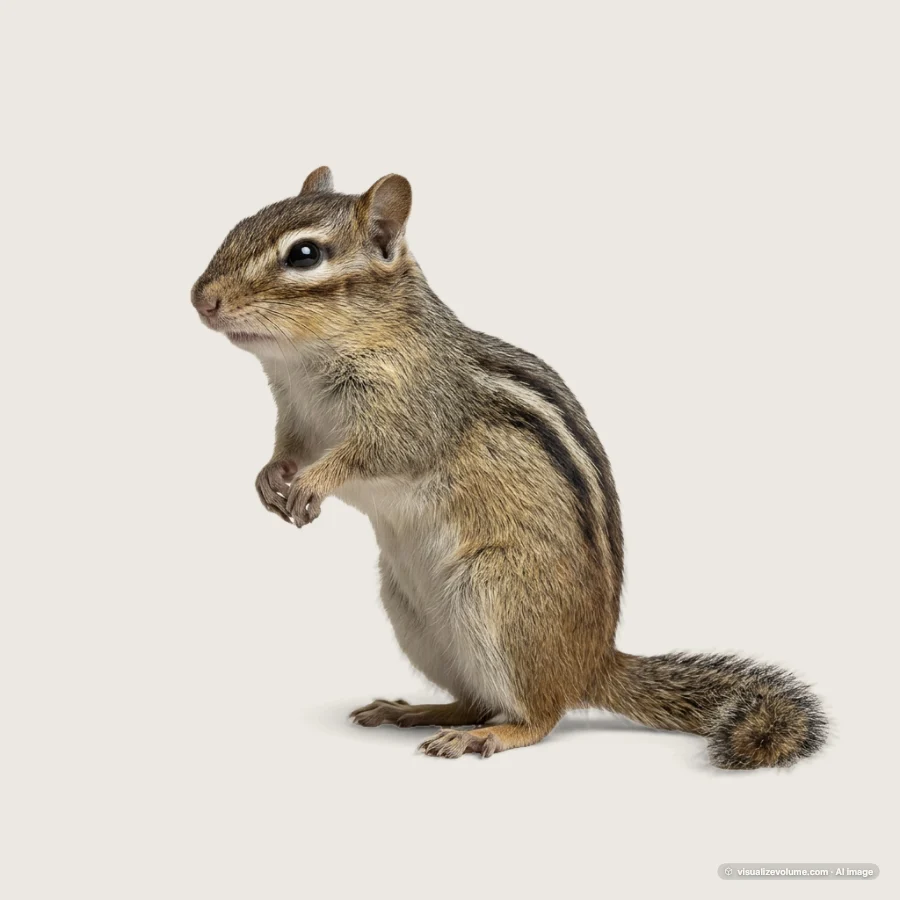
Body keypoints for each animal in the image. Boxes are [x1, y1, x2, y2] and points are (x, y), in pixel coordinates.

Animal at [191, 166, 827, 767]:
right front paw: (269, 479)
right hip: (415, 618)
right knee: (474, 699)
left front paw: (313, 483)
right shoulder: (295, 418)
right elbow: (285, 449)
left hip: (496, 600)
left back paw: (487, 736)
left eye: (304, 254)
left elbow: (375, 454)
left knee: (540, 714)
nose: (201, 299)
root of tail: (594, 662)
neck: (304, 365)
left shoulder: (414, 413)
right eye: (244, 220)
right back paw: (416, 711)